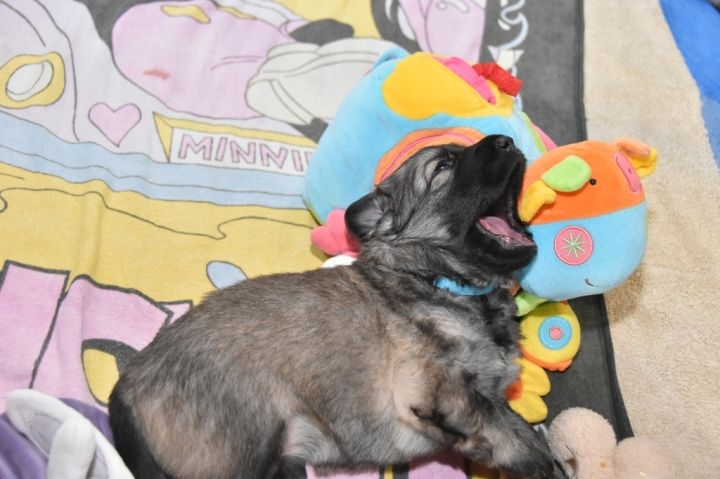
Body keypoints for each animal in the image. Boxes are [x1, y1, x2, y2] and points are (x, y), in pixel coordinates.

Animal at [109, 134, 557, 479]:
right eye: (443, 166)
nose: (507, 140)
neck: (435, 278)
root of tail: (126, 388)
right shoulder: (429, 380)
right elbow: (498, 421)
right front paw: (539, 459)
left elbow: (506, 417)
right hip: (240, 443)